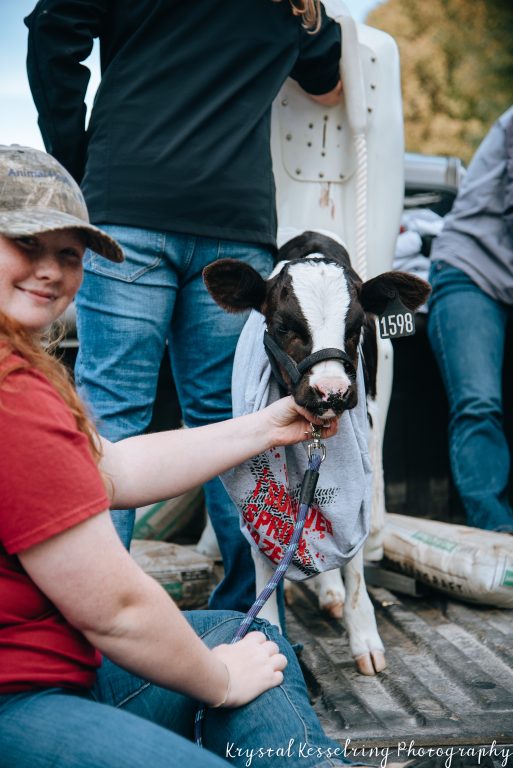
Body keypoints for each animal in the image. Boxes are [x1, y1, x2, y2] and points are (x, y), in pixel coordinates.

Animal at [203, 231, 428, 676]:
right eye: (283, 325)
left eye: (356, 327)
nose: (332, 392)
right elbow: (264, 549)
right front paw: (269, 632)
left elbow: (353, 547)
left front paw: (365, 639)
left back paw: (331, 593)